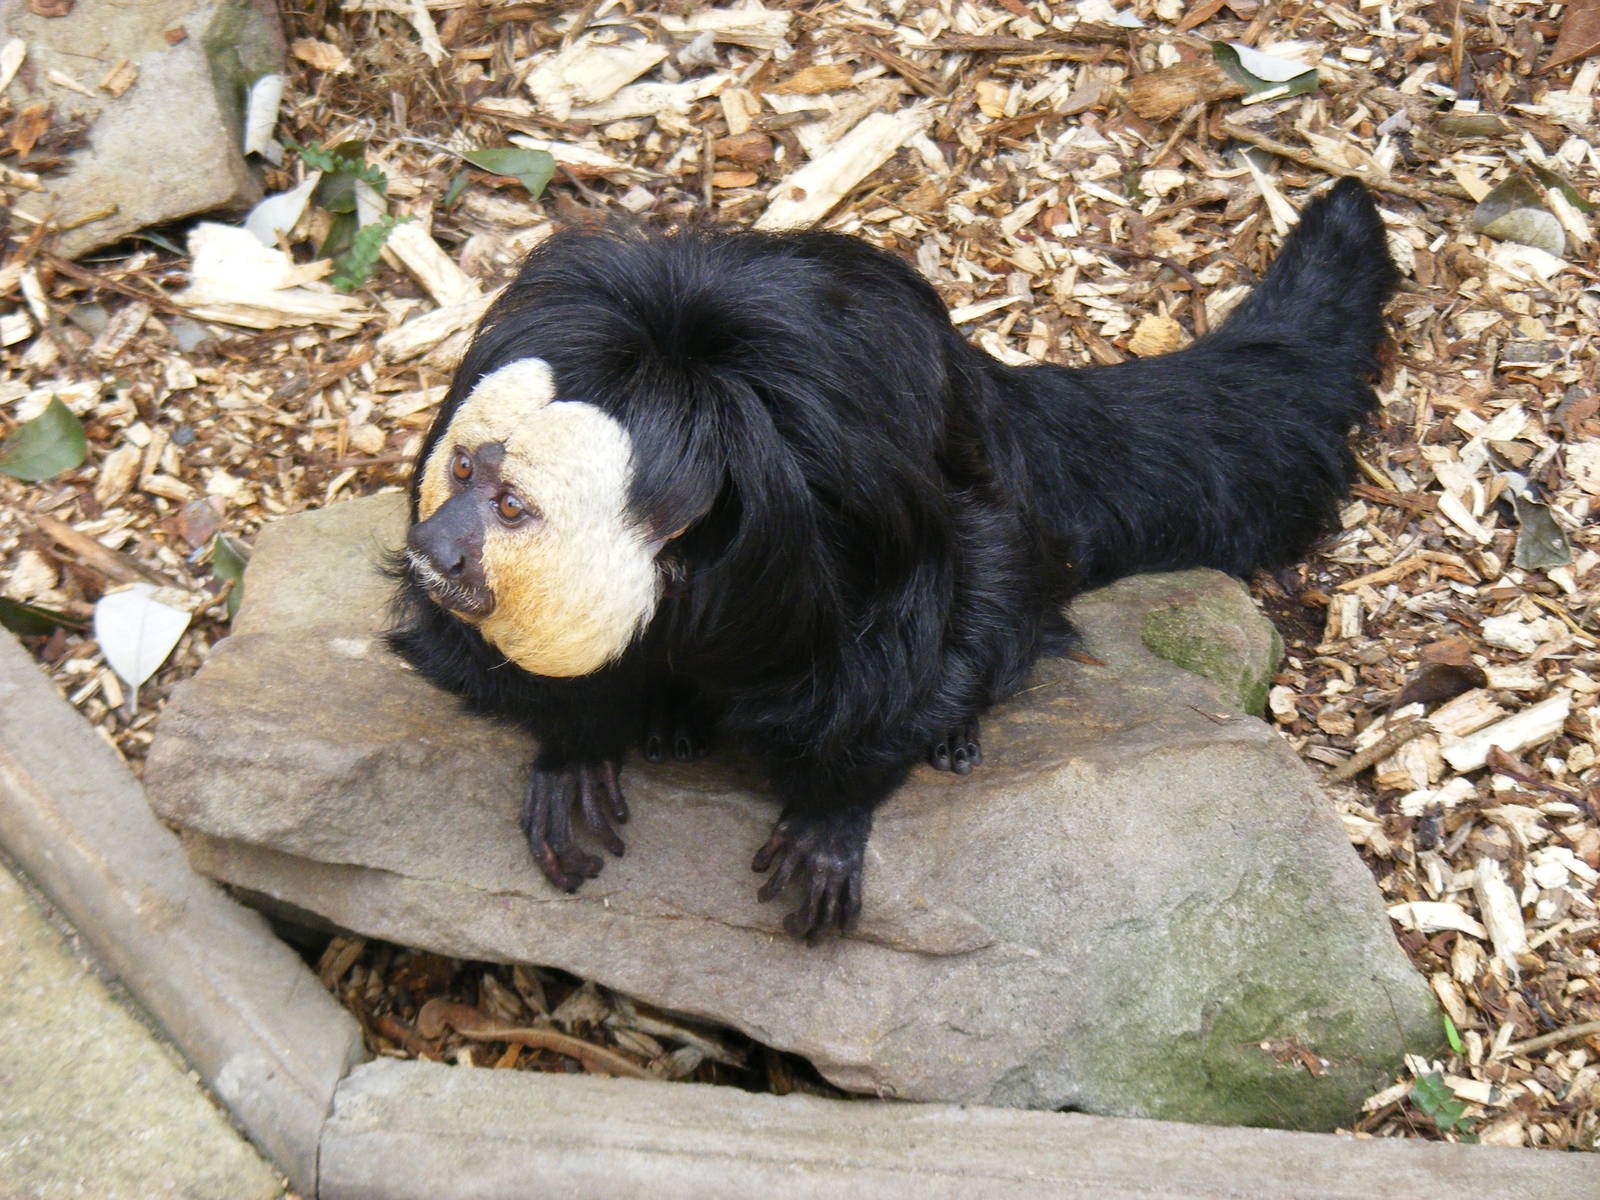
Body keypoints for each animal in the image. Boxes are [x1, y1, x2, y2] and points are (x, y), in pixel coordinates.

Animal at [387, 177, 1398, 940]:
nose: (436, 541)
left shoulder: (843, 503)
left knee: (997, 579)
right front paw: (574, 745)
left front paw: (835, 811)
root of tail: (987, 379)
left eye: (510, 507)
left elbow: (905, 648)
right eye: (464, 468)